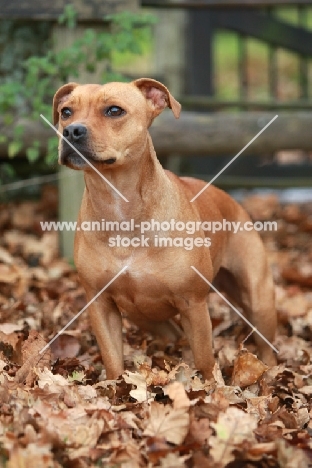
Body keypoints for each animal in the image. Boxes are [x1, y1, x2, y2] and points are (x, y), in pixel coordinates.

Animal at [52, 78, 276, 378]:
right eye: (66, 112)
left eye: (114, 111)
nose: (72, 130)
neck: (119, 204)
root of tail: (230, 200)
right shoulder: (100, 304)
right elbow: (113, 359)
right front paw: (115, 386)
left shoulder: (193, 303)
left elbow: (204, 360)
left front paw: (209, 385)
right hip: (143, 315)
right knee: (172, 333)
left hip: (259, 297)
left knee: (265, 343)